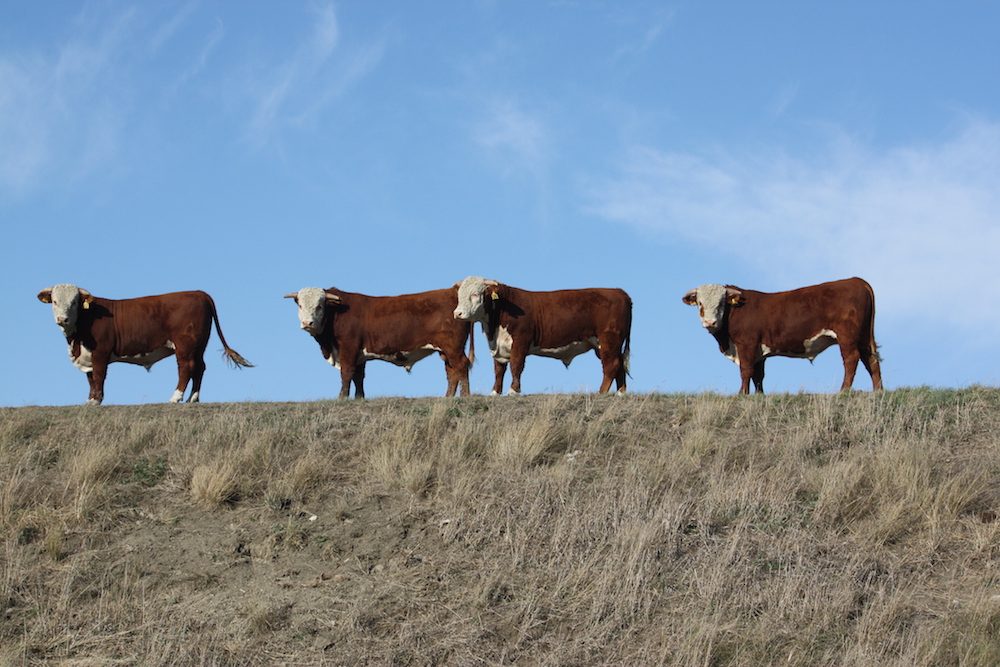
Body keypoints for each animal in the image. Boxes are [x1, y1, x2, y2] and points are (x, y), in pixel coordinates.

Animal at [37, 284, 253, 405]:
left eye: (74, 302)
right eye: (54, 301)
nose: (62, 319)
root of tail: (199, 293)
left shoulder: (100, 352)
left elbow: (98, 376)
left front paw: (96, 401)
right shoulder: (88, 355)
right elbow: (90, 378)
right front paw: (90, 399)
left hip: (184, 345)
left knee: (186, 368)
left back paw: (175, 398)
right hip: (198, 346)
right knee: (200, 367)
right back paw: (193, 398)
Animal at [284, 286, 475, 398]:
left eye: (319, 306)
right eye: (300, 305)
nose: (307, 323)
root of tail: (452, 291)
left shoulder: (348, 348)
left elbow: (346, 373)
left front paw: (341, 397)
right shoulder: (359, 354)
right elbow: (358, 377)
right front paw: (359, 398)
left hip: (453, 347)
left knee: (461, 366)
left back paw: (465, 396)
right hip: (445, 350)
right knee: (451, 372)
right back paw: (448, 398)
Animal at [453, 276, 632, 396]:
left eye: (475, 294)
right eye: (459, 295)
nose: (457, 313)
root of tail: (619, 292)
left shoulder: (520, 341)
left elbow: (516, 365)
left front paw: (513, 391)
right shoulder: (498, 347)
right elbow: (499, 369)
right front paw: (495, 393)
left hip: (608, 340)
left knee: (611, 365)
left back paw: (601, 392)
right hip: (607, 344)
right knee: (619, 363)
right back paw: (620, 393)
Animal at [682, 277, 883, 394]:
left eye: (721, 303)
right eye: (700, 303)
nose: (710, 323)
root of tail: (856, 280)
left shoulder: (746, 344)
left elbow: (746, 370)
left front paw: (742, 394)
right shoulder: (758, 351)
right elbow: (758, 375)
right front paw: (759, 395)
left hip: (847, 336)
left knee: (851, 359)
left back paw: (843, 391)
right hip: (863, 336)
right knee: (870, 360)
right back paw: (878, 390)